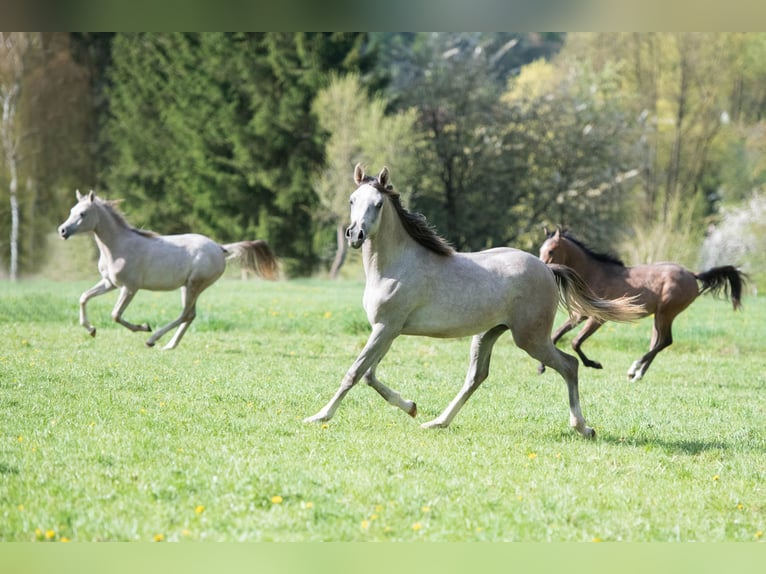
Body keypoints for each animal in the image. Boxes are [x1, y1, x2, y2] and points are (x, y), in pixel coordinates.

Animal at [58, 190, 279, 350]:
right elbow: (84, 297)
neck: (119, 246)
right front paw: (91, 330)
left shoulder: (130, 287)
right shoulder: (110, 283)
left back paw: (153, 339)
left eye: (83, 213)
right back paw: (170, 346)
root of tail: (220, 248)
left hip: (195, 284)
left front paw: (144, 327)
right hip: (187, 287)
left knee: (185, 314)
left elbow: (115, 315)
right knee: (190, 315)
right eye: (71, 211)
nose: (62, 230)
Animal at [304, 165, 643, 438]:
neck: (395, 266)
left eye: (377, 204)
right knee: (476, 377)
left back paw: (583, 428)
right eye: (352, 200)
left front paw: (319, 416)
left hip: (530, 338)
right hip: (488, 334)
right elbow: (369, 374)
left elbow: (355, 372)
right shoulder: (387, 330)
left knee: (569, 366)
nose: (355, 235)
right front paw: (411, 406)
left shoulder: (386, 328)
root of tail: (547, 268)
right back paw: (437, 422)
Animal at [538, 228, 746, 381]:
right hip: (659, 316)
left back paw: (634, 368)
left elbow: (575, 342)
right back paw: (637, 374)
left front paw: (594, 364)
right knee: (658, 341)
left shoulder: (598, 317)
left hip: (666, 313)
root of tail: (693, 275)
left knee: (666, 340)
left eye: (551, 251)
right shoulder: (580, 315)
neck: (594, 274)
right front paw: (541, 366)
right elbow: (556, 335)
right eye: (541, 250)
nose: (542, 268)